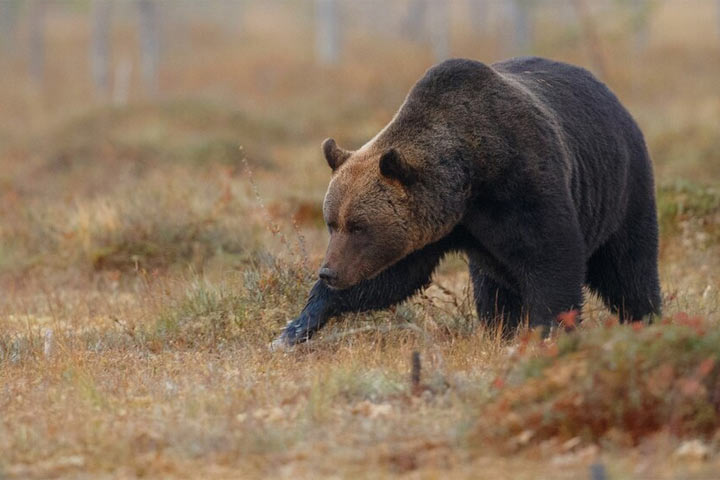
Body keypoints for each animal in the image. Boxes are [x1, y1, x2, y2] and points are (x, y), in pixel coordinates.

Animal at [272, 57, 660, 348]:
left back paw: (647, 318)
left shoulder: (524, 185)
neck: (470, 180)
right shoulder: (434, 228)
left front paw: (549, 332)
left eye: (358, 226)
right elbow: (390, 279)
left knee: (629, 268)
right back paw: (499, 328)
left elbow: (552, 260)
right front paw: (294, 327)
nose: (328, 271)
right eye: (331, 222)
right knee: (492, 287)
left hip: (623, 188)